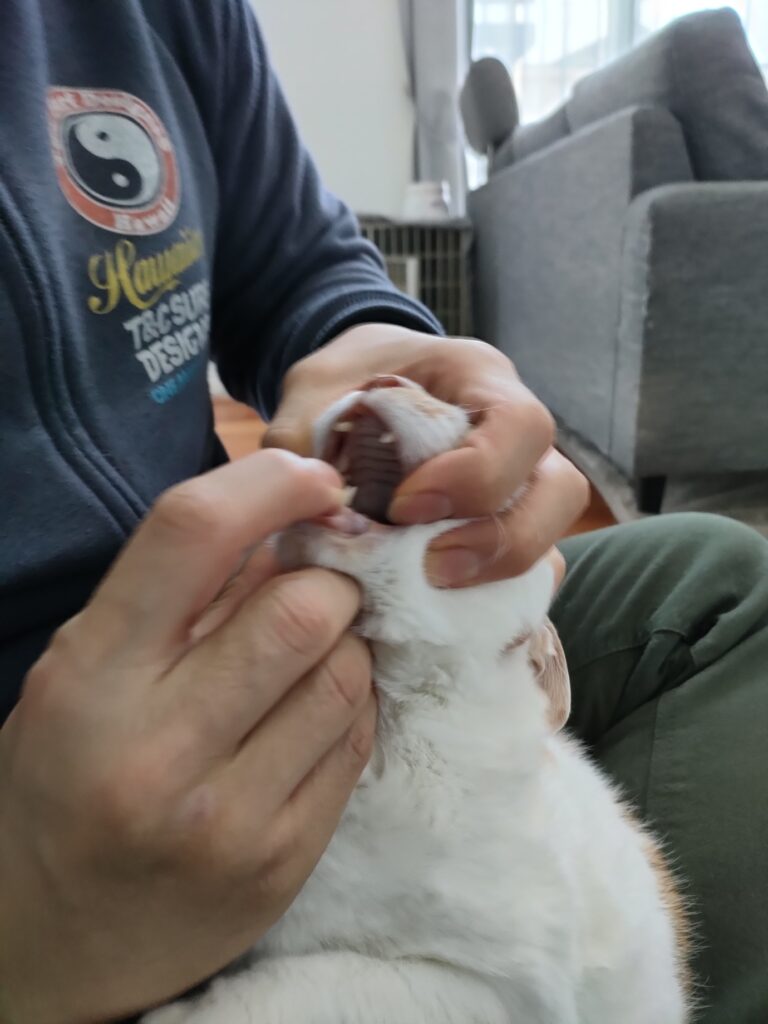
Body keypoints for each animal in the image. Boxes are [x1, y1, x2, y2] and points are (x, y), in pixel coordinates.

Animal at [145, 376, 690, 1024]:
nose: (385, 378)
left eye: (473, 418)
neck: (391, 726)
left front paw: (177, 1012)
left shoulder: (496, 987)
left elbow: (298, 987)